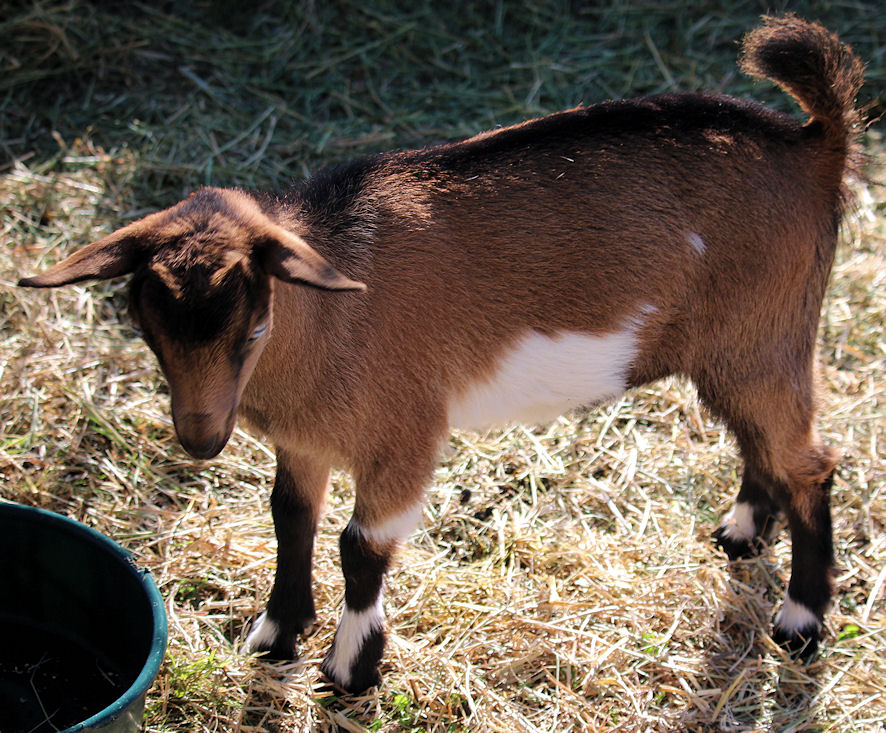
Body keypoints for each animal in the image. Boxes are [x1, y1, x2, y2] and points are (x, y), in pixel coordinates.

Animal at [20, 15, 865, 693]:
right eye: (148, 329)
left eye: (250, 330)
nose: (200, 438)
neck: (327, 318)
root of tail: (815, 142)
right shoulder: (304, 439)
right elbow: (290, 517)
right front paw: (275, 635)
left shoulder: (404, 433)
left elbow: (360, 546)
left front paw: (349, 669)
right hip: (745, 348)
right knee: (764, 441)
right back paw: (742, 532)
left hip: (764, 334)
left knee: (811, 462)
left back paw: (800, 619)